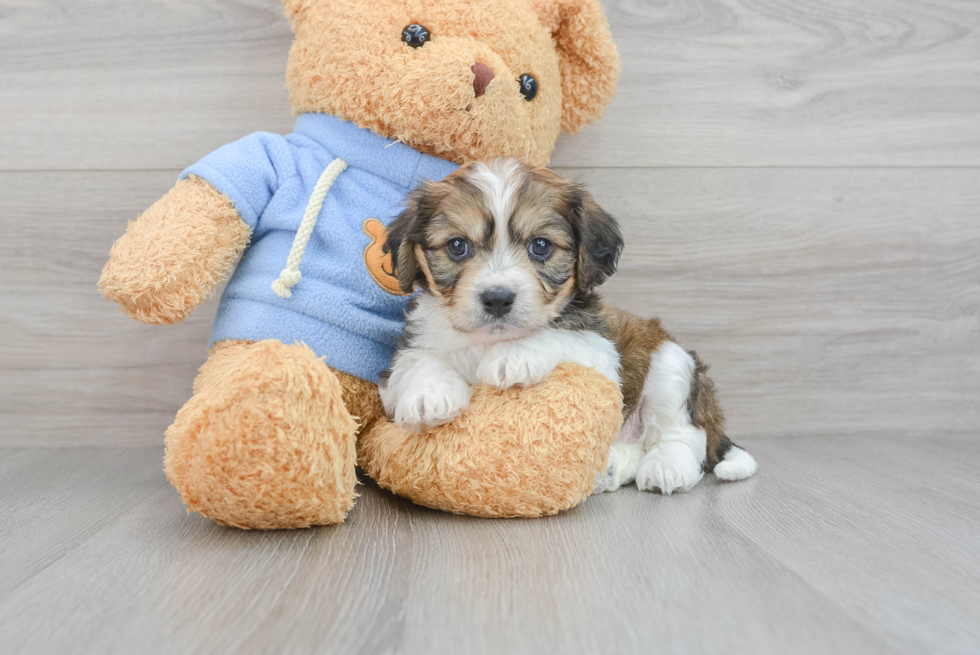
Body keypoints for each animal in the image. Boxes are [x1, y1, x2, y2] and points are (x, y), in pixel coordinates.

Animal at [378, 159, 756, 494]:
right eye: (457, 246)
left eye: (541, 246)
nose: (497, 298)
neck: (488, 340)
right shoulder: (411, 351)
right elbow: (416, 362)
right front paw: (428, 394)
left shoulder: (600, 353)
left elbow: (557, 335)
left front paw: (514, 356)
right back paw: (611, 469)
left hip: (671, 363)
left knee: (687, 435)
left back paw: (667, 466)